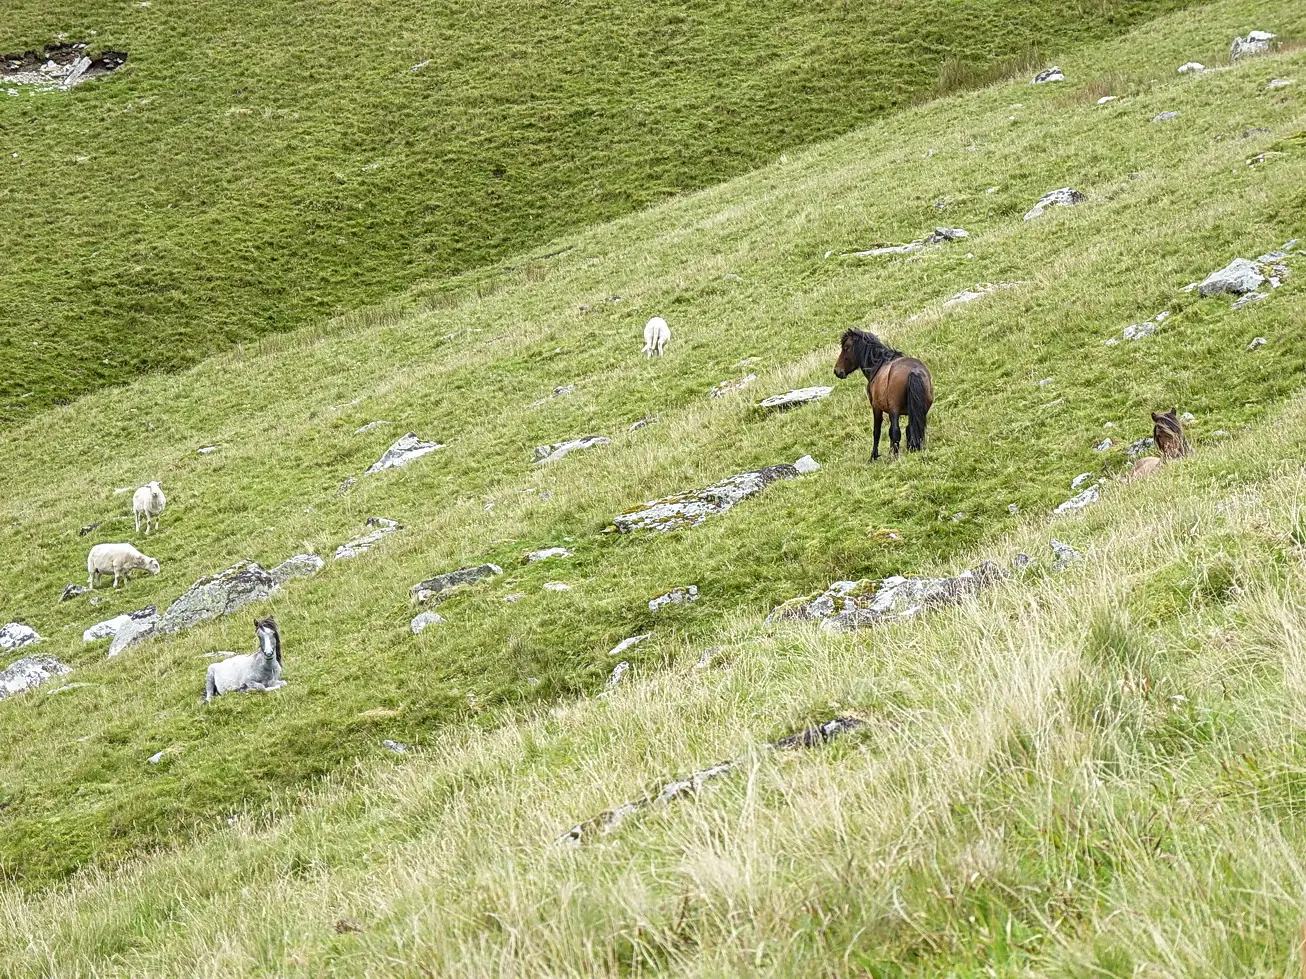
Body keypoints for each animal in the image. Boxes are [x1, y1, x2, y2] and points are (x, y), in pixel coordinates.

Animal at [833, 328, 934, 461]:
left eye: (846, 347)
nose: (837, 371)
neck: (878, 365)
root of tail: (914, 371)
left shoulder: (876, 407)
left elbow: (877, 431)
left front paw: (873, 457)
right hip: (922, 409)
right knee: (915, 427)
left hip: (895, 410)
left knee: (896, 431)